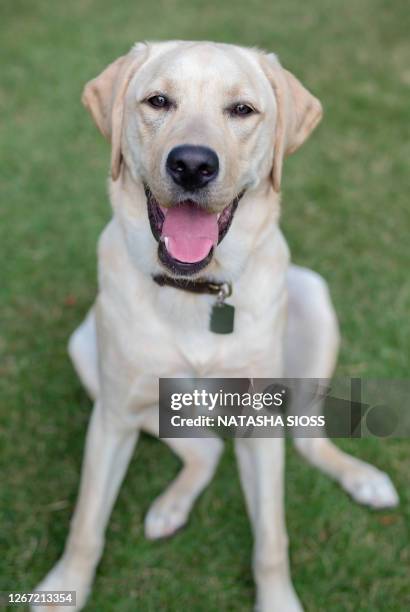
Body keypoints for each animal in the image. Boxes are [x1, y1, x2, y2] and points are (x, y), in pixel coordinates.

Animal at [33, 40, 398, 608]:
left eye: (242, 110)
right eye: (158, 101)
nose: (191, 164)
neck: (195, 292)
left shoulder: (261, 425)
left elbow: (272, 538)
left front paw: (278, 600)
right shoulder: (113, 416)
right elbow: (86, 523)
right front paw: (65, 585)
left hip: (313, 299)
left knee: (307, 438)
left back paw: (364, 479)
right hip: (88, 350)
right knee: (205, 449)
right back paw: (170, 508)